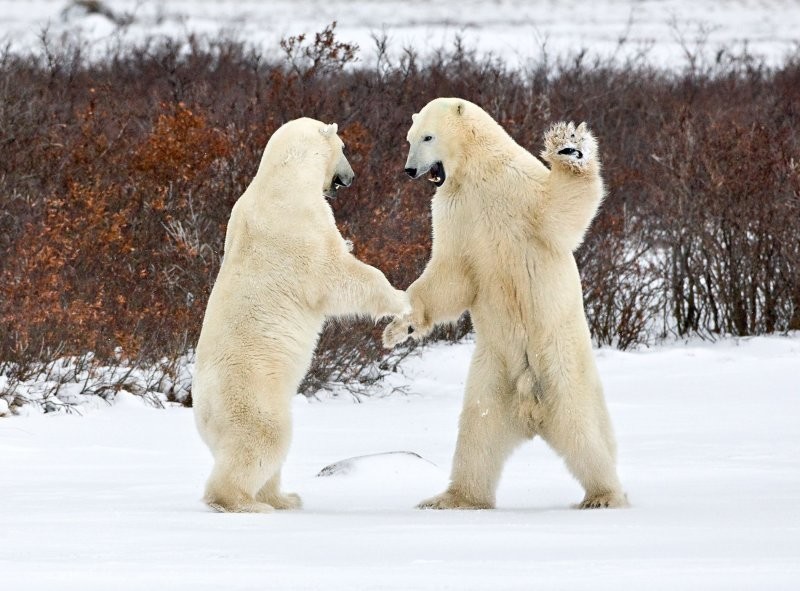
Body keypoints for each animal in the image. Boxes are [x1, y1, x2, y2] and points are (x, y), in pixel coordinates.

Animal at [191, 117, 410, 512]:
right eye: (344, 148)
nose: (350, 177)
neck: (283, 176)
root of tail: (202, 409)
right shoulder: (302, 224)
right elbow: (338, 274)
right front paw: (399, 298)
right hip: (253, 395)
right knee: (263, 440)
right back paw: (244, 502)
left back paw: (285, 497)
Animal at [384, 99, 628, 512]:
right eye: (409, 138)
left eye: (427, 137)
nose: (410, 170)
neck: (476, 173)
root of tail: (532, 412)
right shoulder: (454, 213)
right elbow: (451, 274)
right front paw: (399, 325)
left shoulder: (519, 189)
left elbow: (560, 211)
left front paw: (570, 147)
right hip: (493, 372)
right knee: (477, 434)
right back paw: (452, 498)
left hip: (561, 363)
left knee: (582, 429)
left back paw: (603, 496)